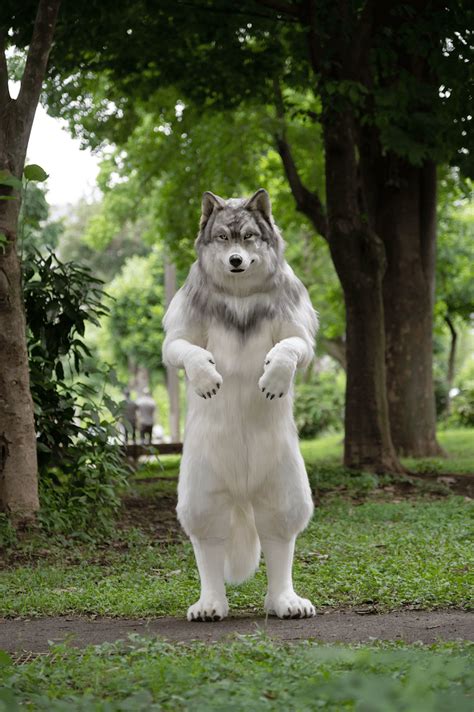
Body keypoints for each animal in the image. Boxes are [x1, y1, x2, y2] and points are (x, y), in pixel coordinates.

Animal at [163, 188, 318, 621]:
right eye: (222, 238)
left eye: (248, 237)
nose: (235, 260)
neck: (240, 296)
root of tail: (242, 489)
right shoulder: (182, 328)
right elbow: (182, 348)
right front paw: (204, 375)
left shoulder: (296, 326)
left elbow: (292, 347)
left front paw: (276, 374)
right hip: (202, 488)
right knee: (209, 539)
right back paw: (211, 603)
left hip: (283, 481)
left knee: (278, 533)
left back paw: (284, 600)